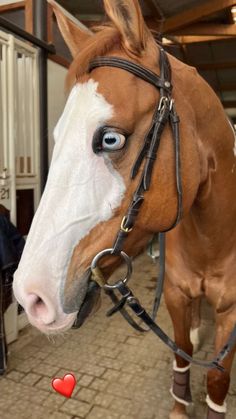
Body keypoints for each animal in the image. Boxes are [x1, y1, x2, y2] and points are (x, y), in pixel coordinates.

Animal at [12, 0, 236, 419]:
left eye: (110, 138)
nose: (30, 296)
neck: (213, 238)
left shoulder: (232, 313)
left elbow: (217, 378)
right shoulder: (175, 296)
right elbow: (182, 358)